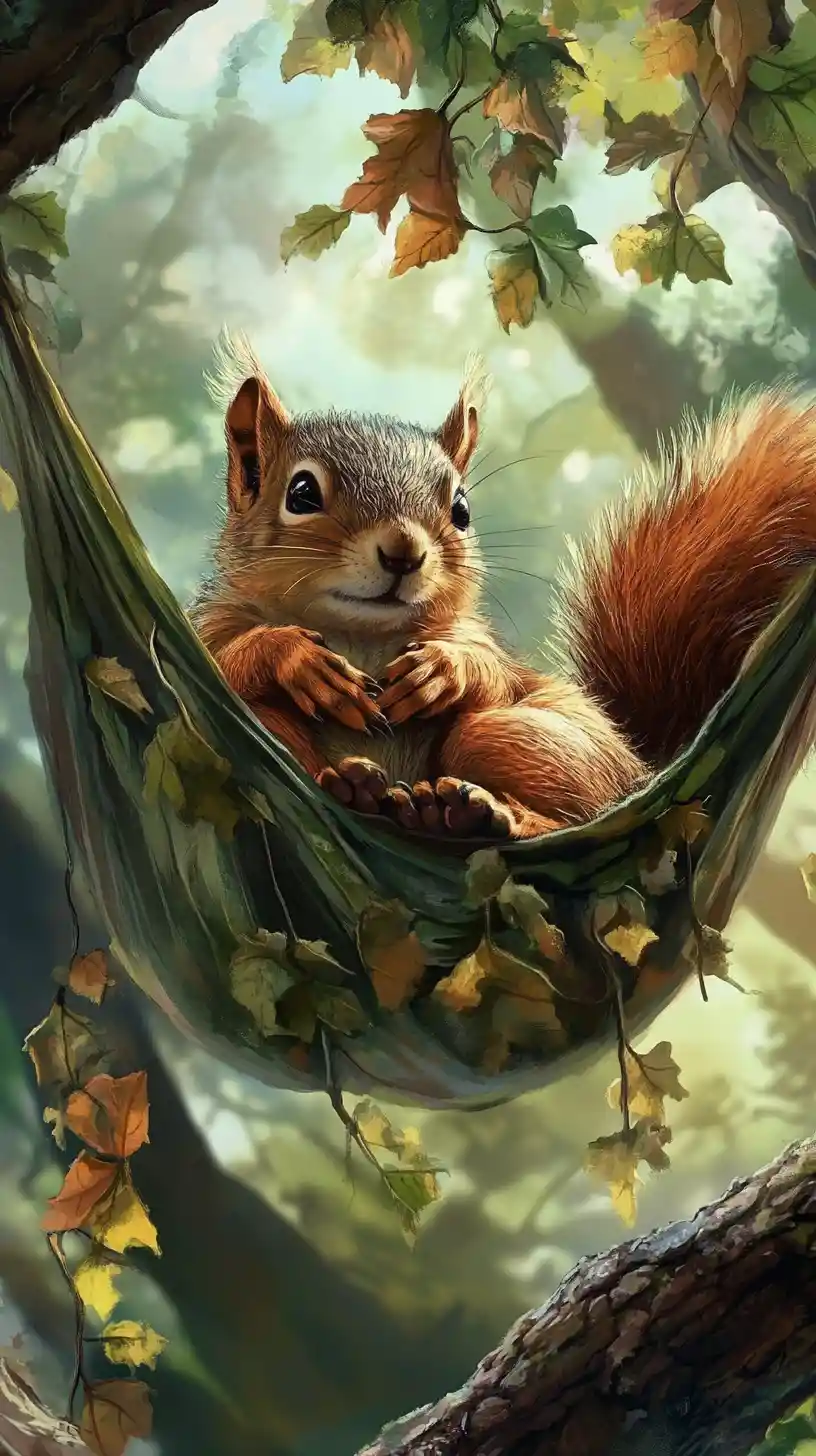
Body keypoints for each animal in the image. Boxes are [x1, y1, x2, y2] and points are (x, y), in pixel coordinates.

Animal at [191, 338, 816, 841]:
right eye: (301, 494)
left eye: (462, 509)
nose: (404, 553)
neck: (360, 634)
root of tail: (643, 771)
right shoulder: (216, 623)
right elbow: (227, 660)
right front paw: (295, 658)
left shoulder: (479, 639)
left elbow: (492, 670)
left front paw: (445, 669)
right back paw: (359, 789)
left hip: (533, 743)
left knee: (572, 809)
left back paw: (483, 815)